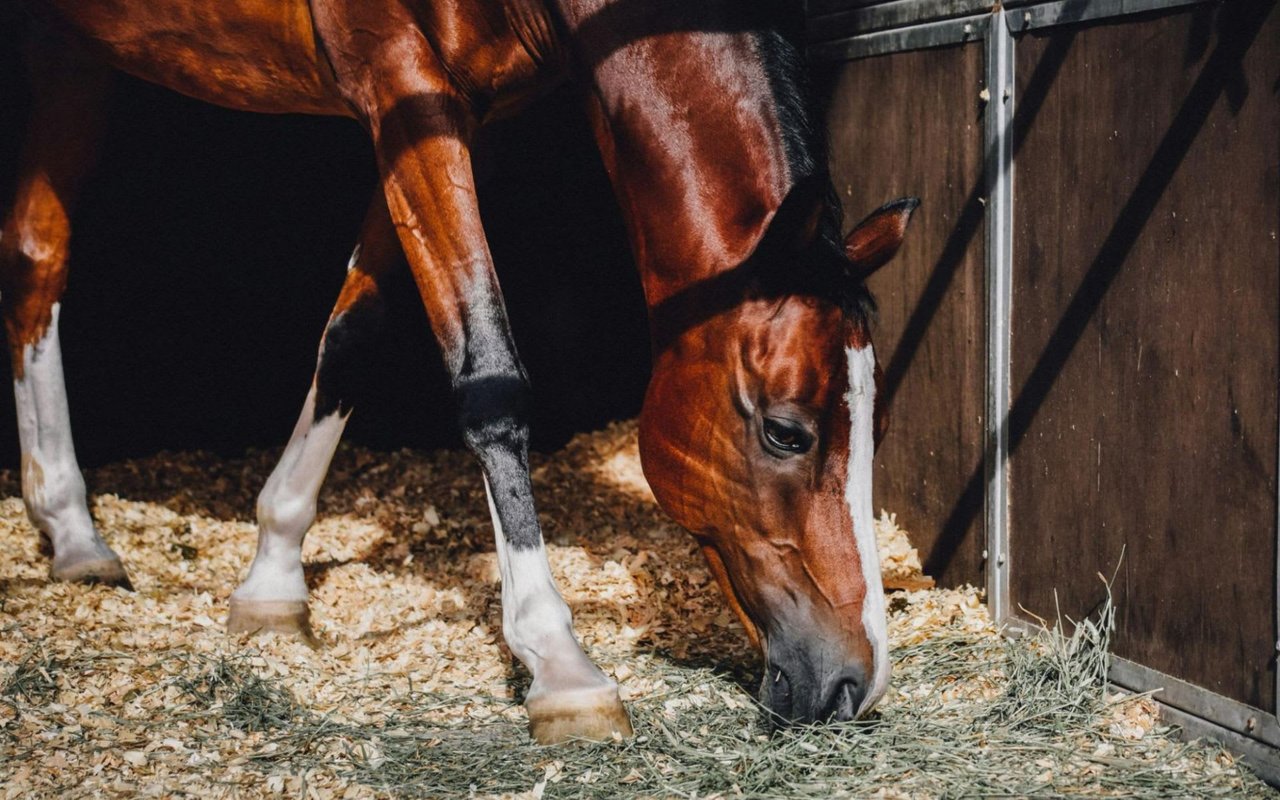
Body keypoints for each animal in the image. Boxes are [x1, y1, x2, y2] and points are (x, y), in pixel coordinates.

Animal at [2, 0, 917, 742]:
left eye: (874, 424)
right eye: (786, 431)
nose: (856, 681)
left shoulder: (433, 115)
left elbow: (355, 335)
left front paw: (273, 575)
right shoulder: (404, 85)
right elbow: (489, 376)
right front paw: (559, 663)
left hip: (66, 49)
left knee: (35, 260)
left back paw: (72, 532)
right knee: (39, 266)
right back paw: (72, 522)